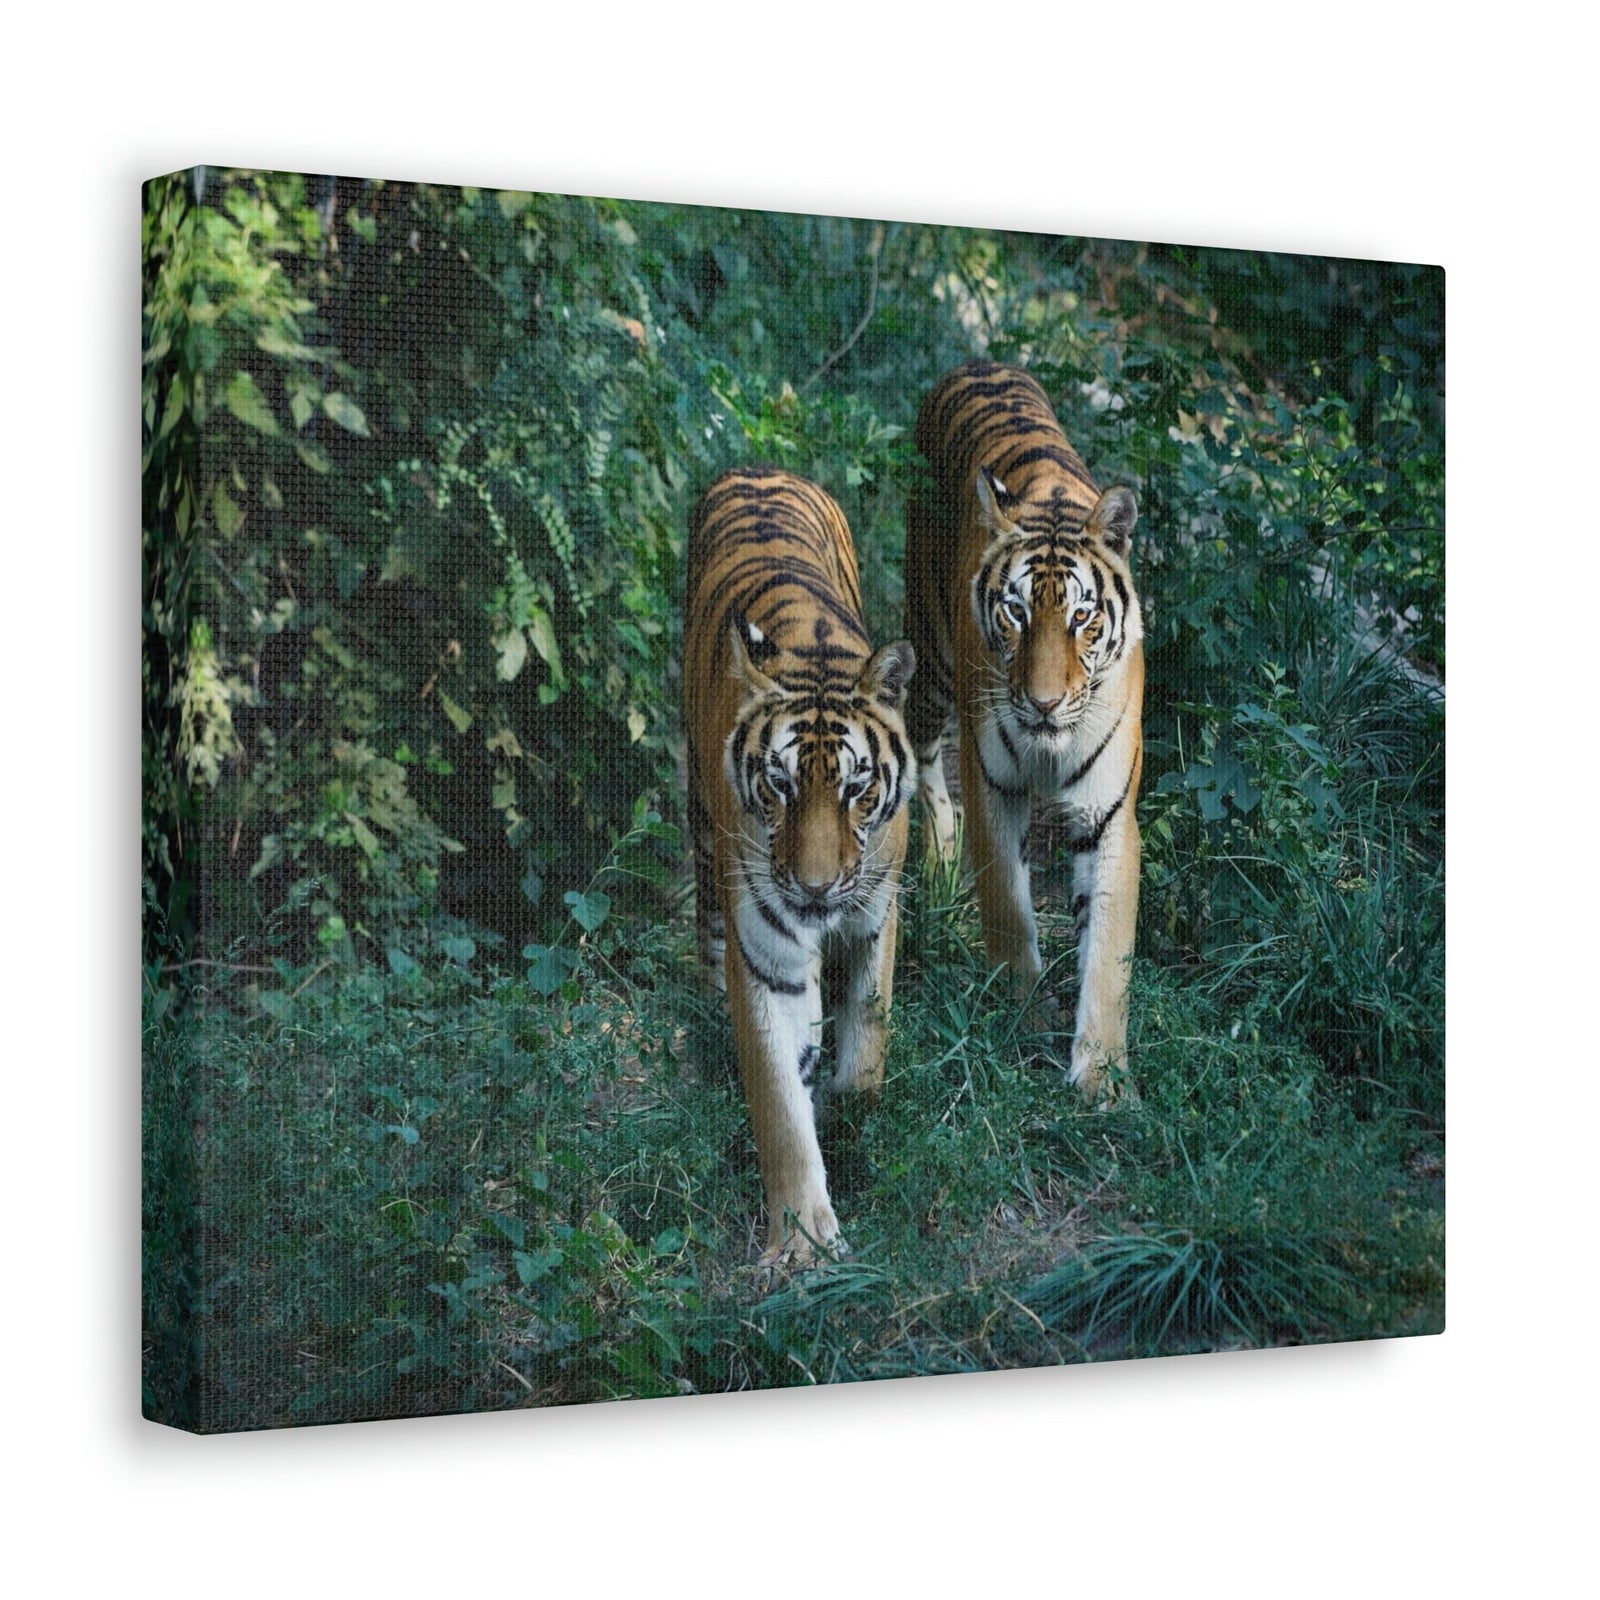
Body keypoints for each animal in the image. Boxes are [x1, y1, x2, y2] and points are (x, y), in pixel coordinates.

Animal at [684, 465, 917, 1266]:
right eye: (780, 784)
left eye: (856, 788)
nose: (815, 888)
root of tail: (759, 468)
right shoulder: (765, 951)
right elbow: (780, 1104)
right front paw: (802, 1244)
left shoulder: (878, 909)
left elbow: (868, 1043)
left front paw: (850, 1113)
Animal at [903, 361, 1143, 1103]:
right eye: (1014, 613)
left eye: (1081, 618)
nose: (1041, 704)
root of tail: (979, 363)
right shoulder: (993, 787)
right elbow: (1009, 907)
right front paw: (1024, 1012)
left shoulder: (1109, 813)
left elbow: (1108, 952)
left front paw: (1101, 1075)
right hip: (932, 659)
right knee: (925, 759)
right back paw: (939, 862)